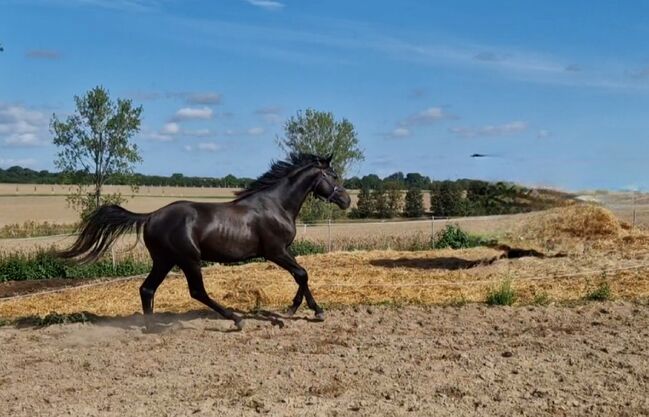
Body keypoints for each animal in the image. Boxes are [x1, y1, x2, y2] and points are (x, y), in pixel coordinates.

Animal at [57, 153, 350, 328]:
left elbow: (302, 275)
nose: (347, 200)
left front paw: (296, 309)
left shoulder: (284, 251)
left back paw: (150, 324)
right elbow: (302, 273)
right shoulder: (275, 251)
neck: (276, 205)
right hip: (189, 259)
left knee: (147, 289)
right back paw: (235, 320)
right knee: (197, 291)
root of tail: (151, 216)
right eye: (334, 176)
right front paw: (310, 311)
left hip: (164, 260)